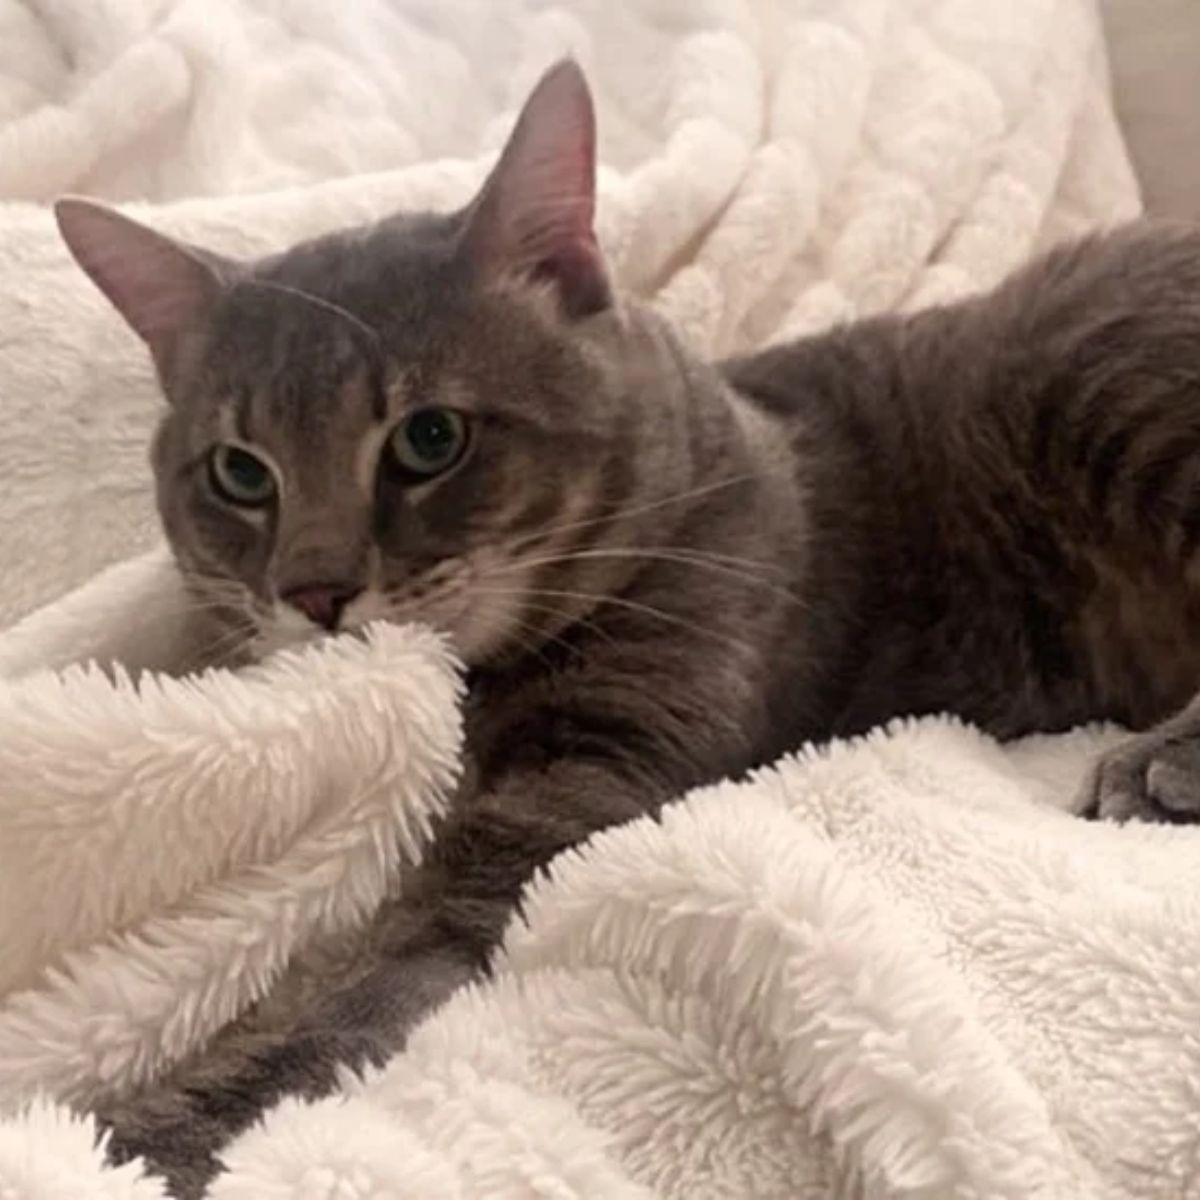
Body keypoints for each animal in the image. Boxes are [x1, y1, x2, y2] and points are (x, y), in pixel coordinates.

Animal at [58, 58, 1200, 1200]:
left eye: (430, 439)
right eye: (240, 473)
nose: (315, 591)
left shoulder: (586, 775)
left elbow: (346, 989)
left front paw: (133, 1135)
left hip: (1094, 375)